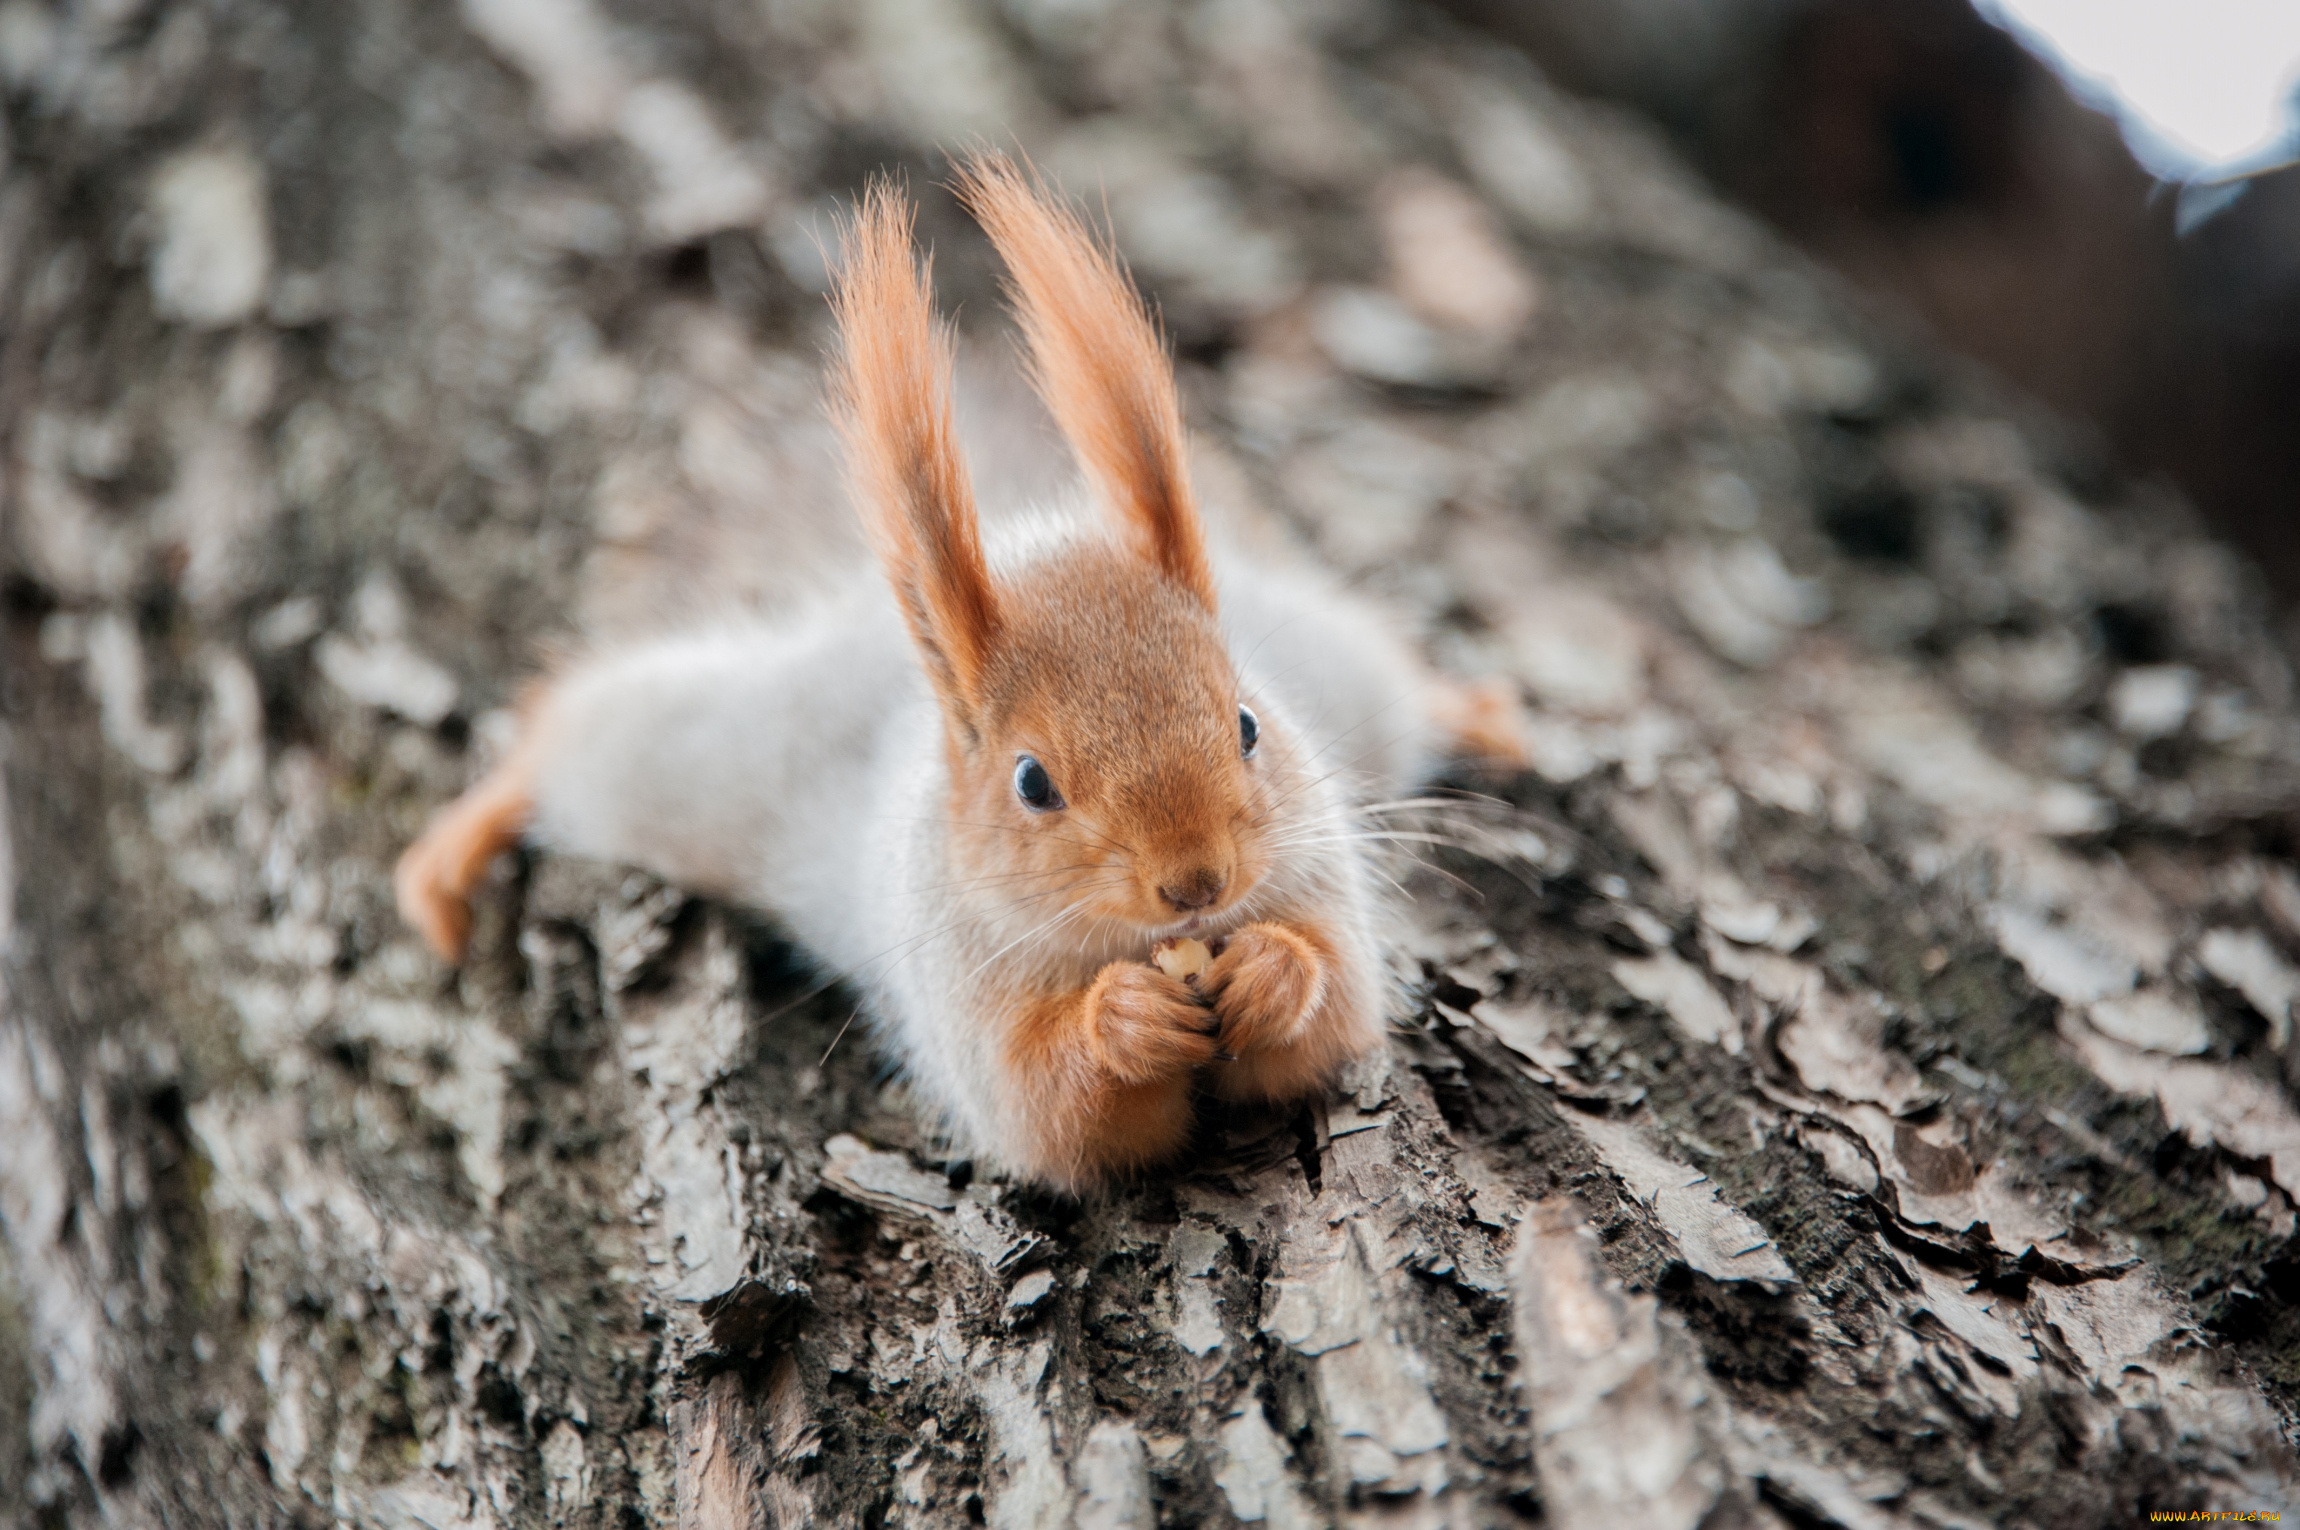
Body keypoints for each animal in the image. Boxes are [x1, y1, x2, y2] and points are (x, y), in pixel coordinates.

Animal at [395, 155, 1527, 1187]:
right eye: (1032, 783)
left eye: (1247, 724)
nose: (1197, 883)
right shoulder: (961, 989)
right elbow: (1043, 1105)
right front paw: (1121, 1020)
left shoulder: (1318, 872)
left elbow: (1334, 1011)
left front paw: (1269, 972)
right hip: (707, 756)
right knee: (570, 735)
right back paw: (458, 843)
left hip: (1339, 669)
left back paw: (1483, 714)